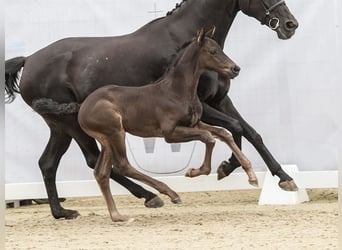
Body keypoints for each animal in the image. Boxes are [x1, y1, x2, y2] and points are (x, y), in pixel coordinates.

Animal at [79, 29, 258, 223]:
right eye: (212, 51)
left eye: (220, 48)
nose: (235, 69)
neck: (176, 91)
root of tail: (82, 109)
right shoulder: (170, 134)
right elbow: (209, 138)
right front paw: (195, 171)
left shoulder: (195, 123)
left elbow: (223, 133)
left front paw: (252, 176)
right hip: (116, 133)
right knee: (123, 165)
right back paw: (171, 194)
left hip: (106, 140)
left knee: (101, 173)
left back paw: (118, 216)